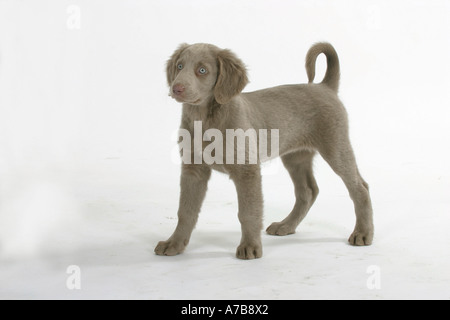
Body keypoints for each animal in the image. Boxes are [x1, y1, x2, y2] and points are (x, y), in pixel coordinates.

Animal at [155, 42, 372, 258]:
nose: (176, 88)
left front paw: (250, 246)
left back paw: (363, 233)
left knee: (360, 187)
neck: (204, 119)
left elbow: (248, 212)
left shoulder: (246, 170)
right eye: (180, 66)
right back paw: (286, 226)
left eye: (202, 70)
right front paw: (174, 243)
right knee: (308, 191)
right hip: (295, 157)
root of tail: (324, 86)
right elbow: (185, 211)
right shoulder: (193, 169)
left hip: (335, 146)